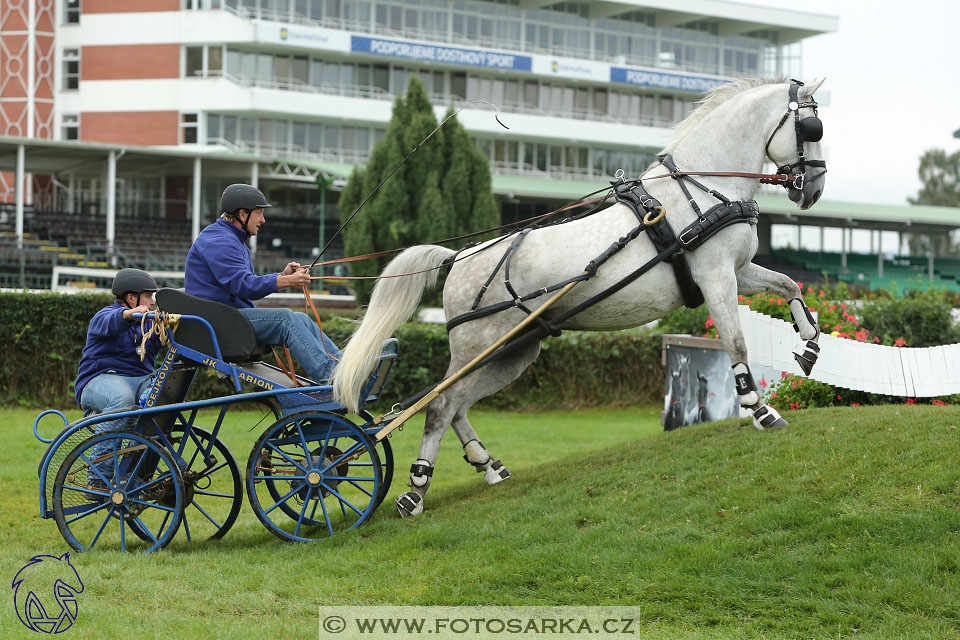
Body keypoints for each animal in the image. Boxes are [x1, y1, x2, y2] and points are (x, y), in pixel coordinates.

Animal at [330, 77, 824, 516]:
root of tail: (460, 256)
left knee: (455, 406)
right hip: (476, 346)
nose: (815, 188)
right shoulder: (716, 275)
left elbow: (789, 285)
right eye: (811, 128)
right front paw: (759, 409)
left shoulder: (739, 271)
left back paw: (486, 466)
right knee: (437, 406)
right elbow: (736, 343)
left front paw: (809, 344)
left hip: (512, 350)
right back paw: (415, 490)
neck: (698, 189)